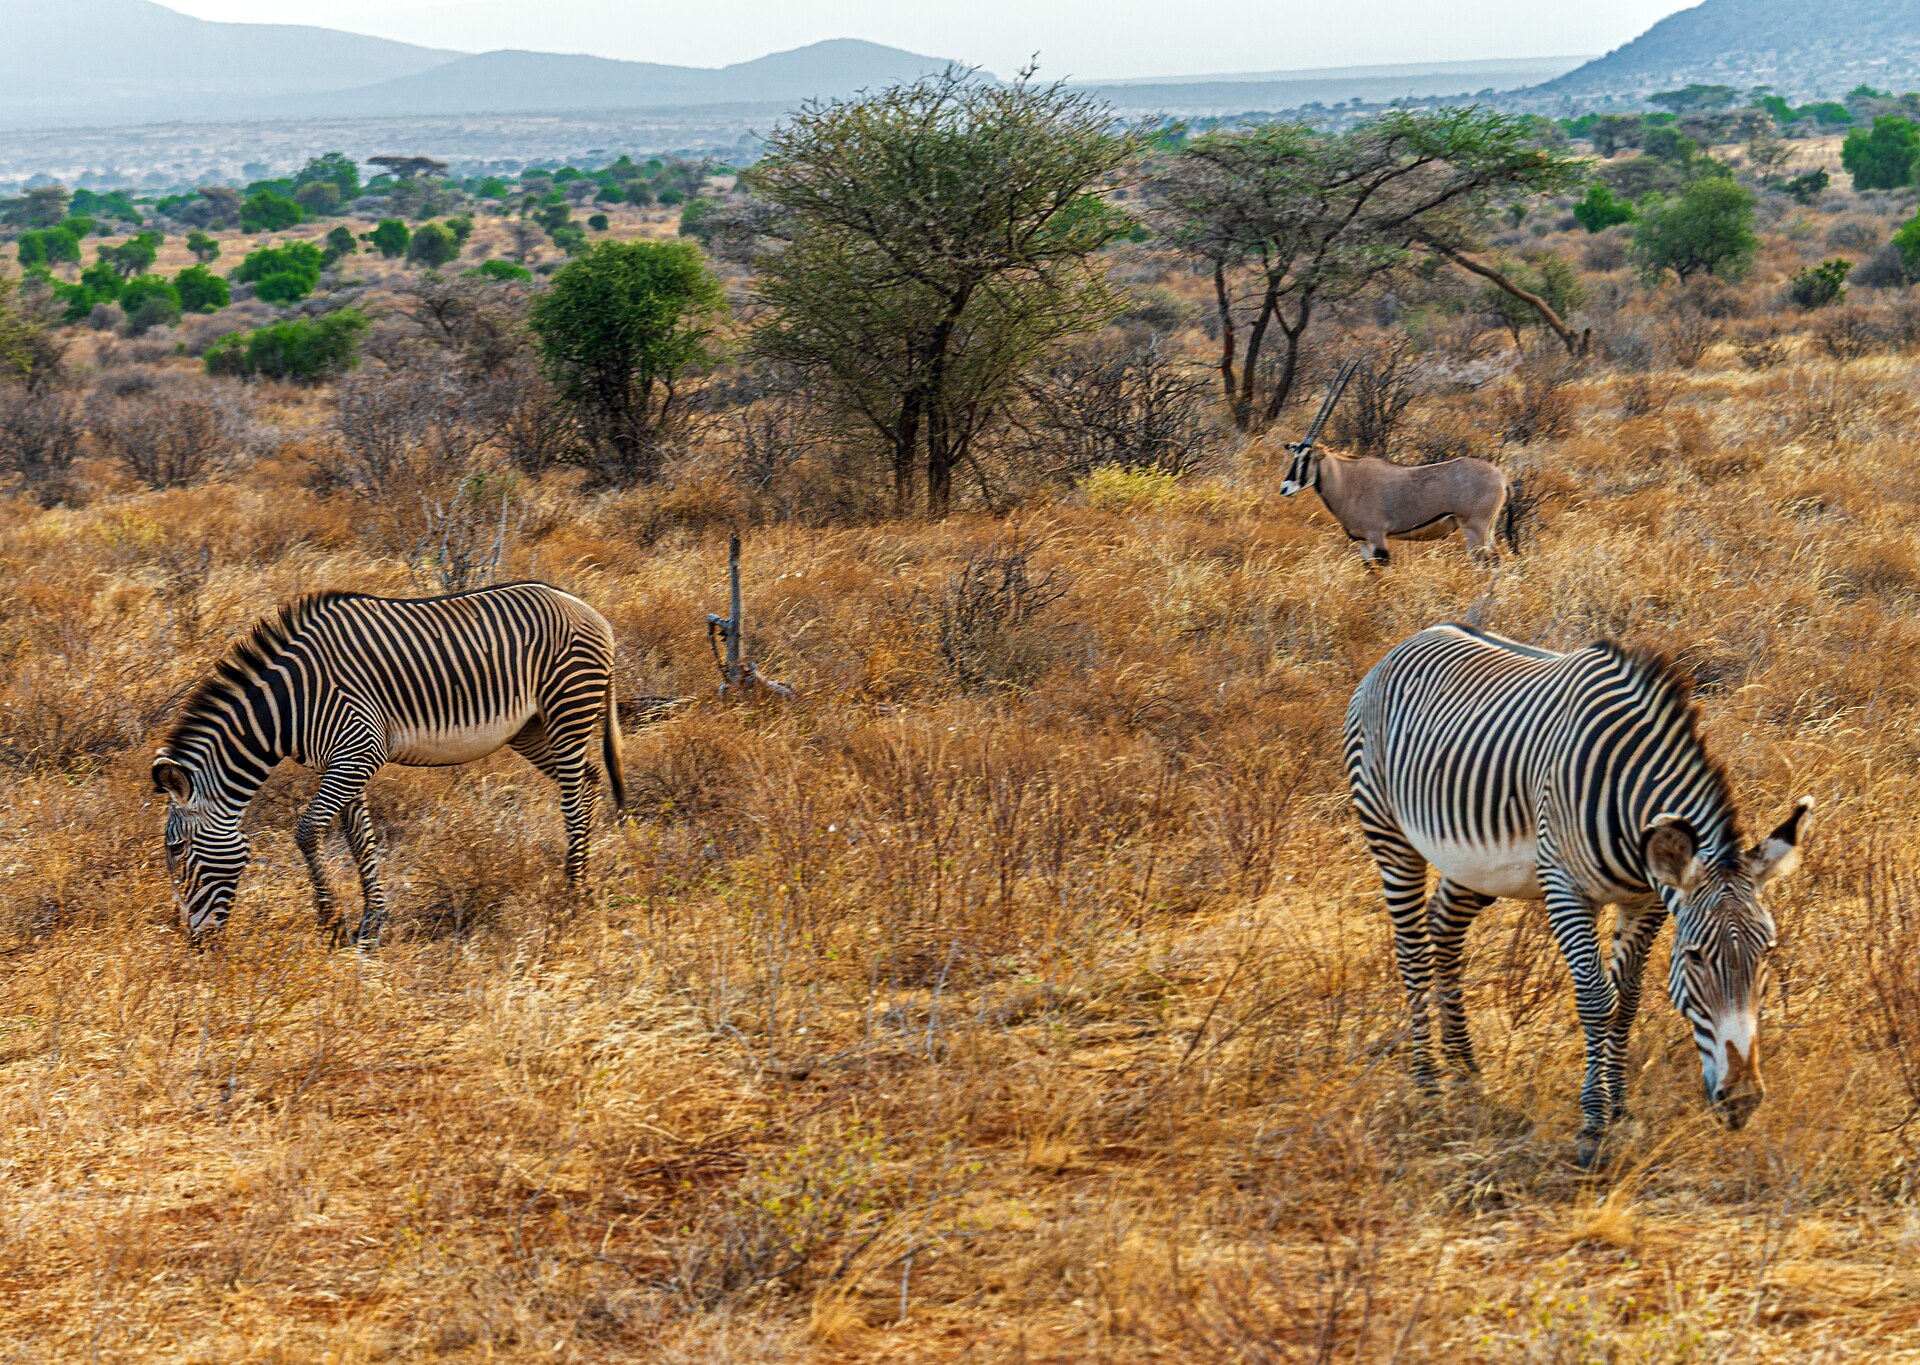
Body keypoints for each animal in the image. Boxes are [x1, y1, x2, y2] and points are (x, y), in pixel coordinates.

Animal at [153, 582, 632, 945]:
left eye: (176, 850)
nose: (195, 945)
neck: (288, 703)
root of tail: (592, 611)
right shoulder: (343, 762)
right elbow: (360, 842)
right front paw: (370, 925)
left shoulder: (358, 752)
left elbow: (307, 831)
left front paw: (331, 923)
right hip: (531, 729)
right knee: (589, 780)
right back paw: (582, 879)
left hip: (568, 707)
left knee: (573, 793)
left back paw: (573, 893)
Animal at [1344, 624, 1812, 1167]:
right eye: (1695, 957)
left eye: (1768, 953)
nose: (1742, 1101)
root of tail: (1414, 638)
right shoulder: (1565, 888)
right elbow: (1596, 1001)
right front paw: (1592, 1125)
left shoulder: (1646, 902)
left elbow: (1626, 1002)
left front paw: (1621, 1112)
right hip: (1390, 835)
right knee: (1412, 952)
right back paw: (1428, 1085)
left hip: (1477, 867)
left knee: (1444, 927)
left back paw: (1464, 1069)